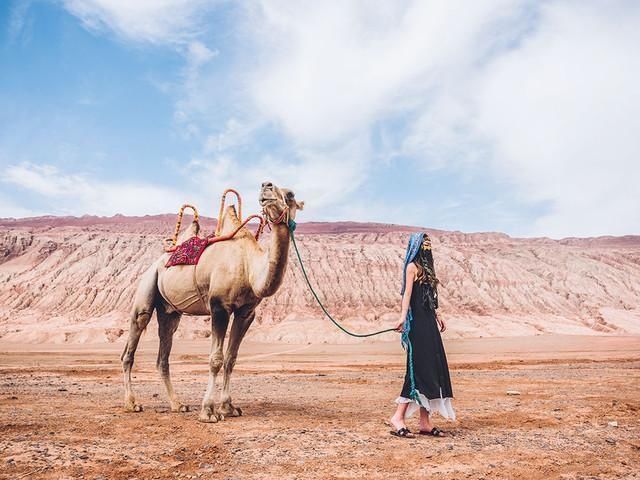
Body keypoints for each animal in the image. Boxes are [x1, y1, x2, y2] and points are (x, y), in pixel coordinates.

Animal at [123, 182, 308, 422]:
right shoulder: (219, 306)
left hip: (170, 311)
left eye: (291, 194)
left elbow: (231, 359)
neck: (249, 267)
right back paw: (131, 403)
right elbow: (216, 359)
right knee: (134, 338)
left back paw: (177, 404)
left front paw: (228, 407)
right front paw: (208, 411)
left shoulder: (246, 312)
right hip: (146, 285)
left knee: (163, 353)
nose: (266, 186)